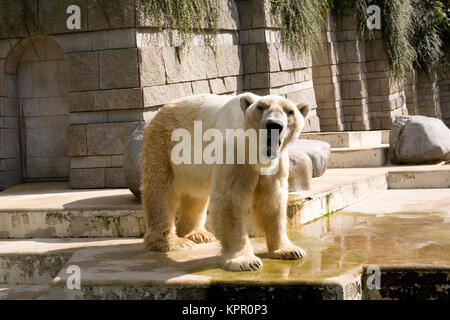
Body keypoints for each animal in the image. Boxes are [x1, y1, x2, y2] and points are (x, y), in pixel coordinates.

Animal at [140, 92, 310, 270]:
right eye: (261, 107)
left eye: (290, 111)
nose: (274, 125)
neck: (256, 152)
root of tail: (159, 112)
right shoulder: (234, 152)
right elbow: (230, 199)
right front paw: (245, 261)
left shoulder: (276, 163)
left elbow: (273, 200)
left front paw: (290, 250)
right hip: (164, 146)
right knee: (161, 192)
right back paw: (172, 242)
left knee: (196, 197)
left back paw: (198, 234)